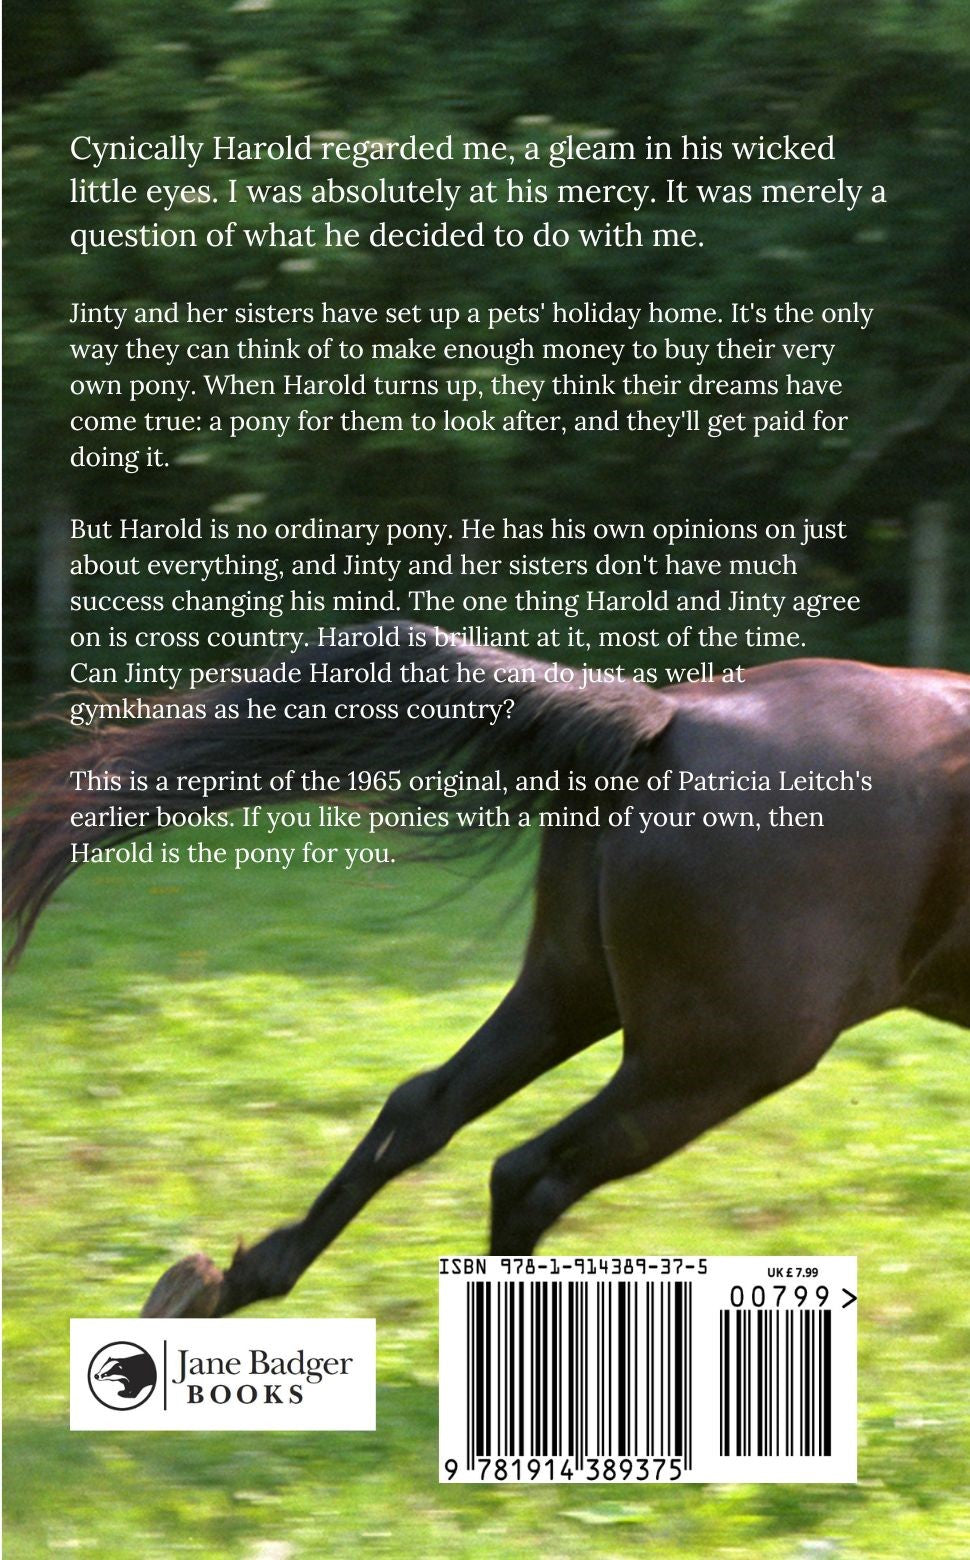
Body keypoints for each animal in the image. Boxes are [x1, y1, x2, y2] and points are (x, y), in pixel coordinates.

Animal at [5, 620, 968, 1317]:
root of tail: (669, 723)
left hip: (573, 992)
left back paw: (228, 1286)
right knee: (531, 1169)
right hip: (721, 1053)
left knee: (425, 1109)